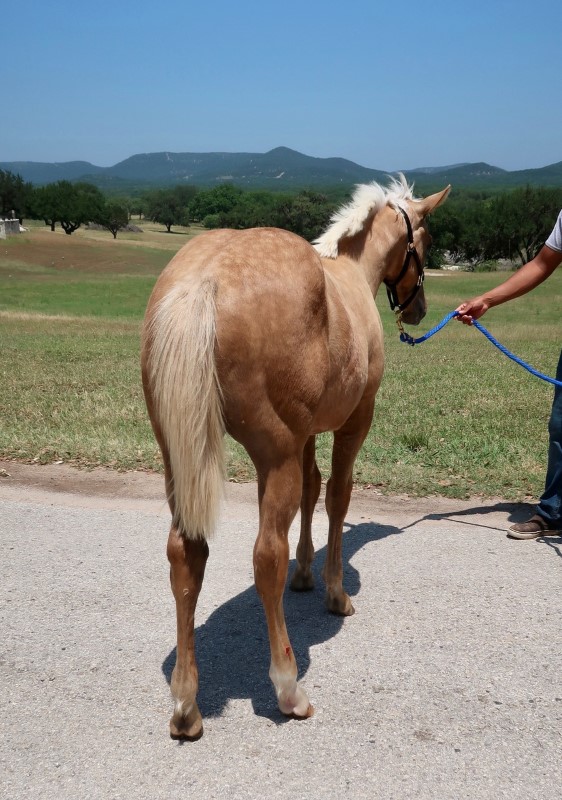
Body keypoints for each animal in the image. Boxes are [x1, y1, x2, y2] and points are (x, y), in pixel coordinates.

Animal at [142, 175, 448, 736]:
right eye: (426, 240)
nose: (416, 309)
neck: (350, 274)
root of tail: (205, 278)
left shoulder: (308, 433)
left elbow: (313, 486)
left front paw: (306, 574)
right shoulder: (354, 422)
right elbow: (336, 496)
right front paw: (333, 592)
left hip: (178, 459)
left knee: (185, 555)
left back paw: (186, 703)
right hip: (273, 455)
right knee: (266, 557)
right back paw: (288, 688)